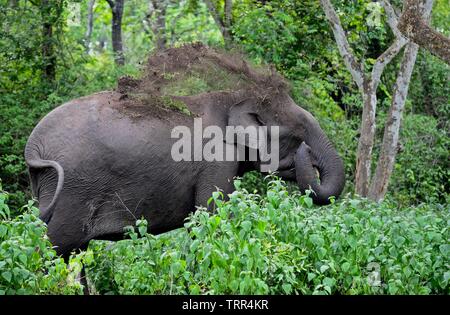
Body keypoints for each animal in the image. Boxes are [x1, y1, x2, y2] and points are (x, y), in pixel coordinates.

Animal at [23, 43, 344, 258]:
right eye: (299, 134)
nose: (307, 154)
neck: (232, 99)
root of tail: (33, 144)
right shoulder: (218, 158)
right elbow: (212, 217)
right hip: (75, 191)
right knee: (54, 246)